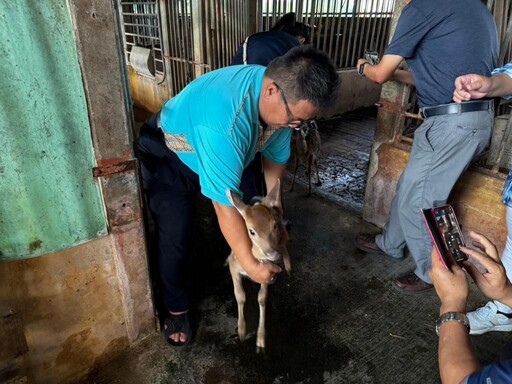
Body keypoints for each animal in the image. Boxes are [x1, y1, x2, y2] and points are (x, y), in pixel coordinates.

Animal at [226, 178, 290, 352]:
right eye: (251, 231)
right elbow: (240, 295)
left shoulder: (268, 272)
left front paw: (261, 340)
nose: (272, 254)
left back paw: (288, 265)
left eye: (274, 225)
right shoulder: (234, 265)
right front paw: (241, 331)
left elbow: (262, 298)